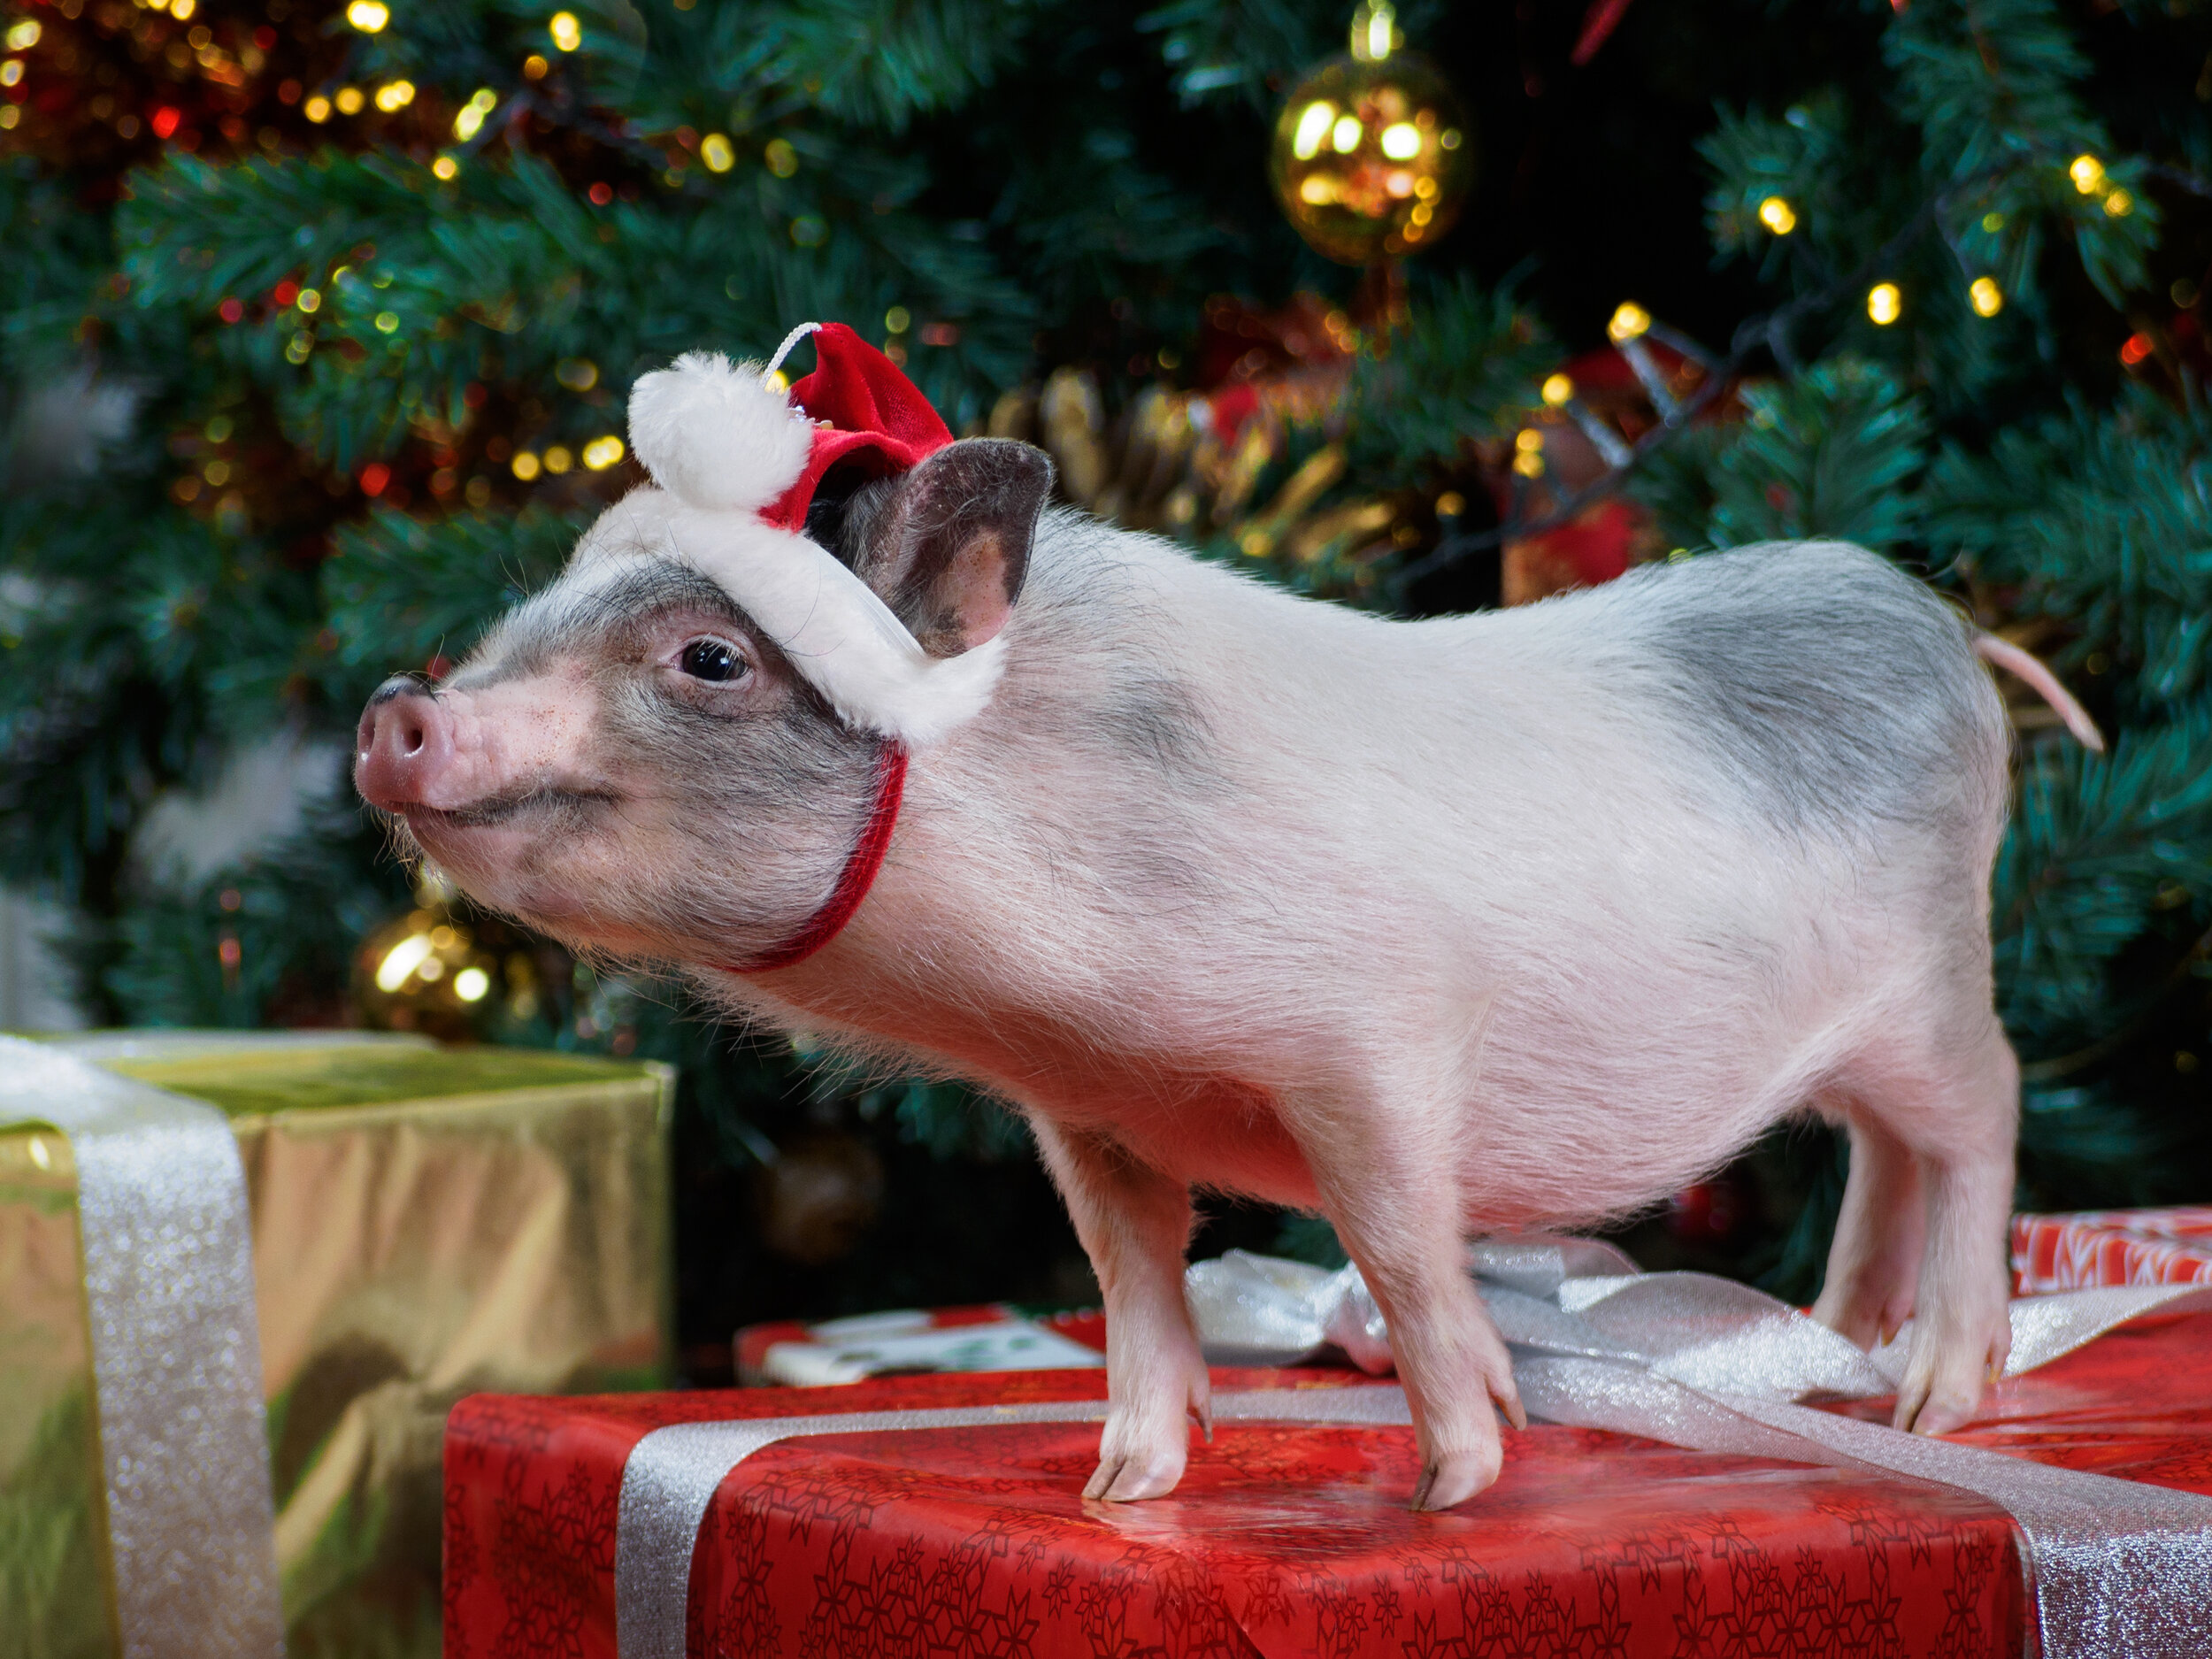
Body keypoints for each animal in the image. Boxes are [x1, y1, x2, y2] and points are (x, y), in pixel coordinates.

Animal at [356, 338, 2099, 1512]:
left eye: (710, 658)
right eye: (533, 610)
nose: (393, 709)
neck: (1053, 1011)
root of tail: (1947, 631)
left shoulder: (1372, 1053)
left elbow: (1399, 1242)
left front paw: (1459, 1481)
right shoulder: (1085, 1110)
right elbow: (1132, 1272)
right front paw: (1118, 1489)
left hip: (1940, 974)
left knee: (1990, 1113)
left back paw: (1932, 1406)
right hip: (1859, 1035)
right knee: (1886, 1153)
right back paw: (1837, 1338)